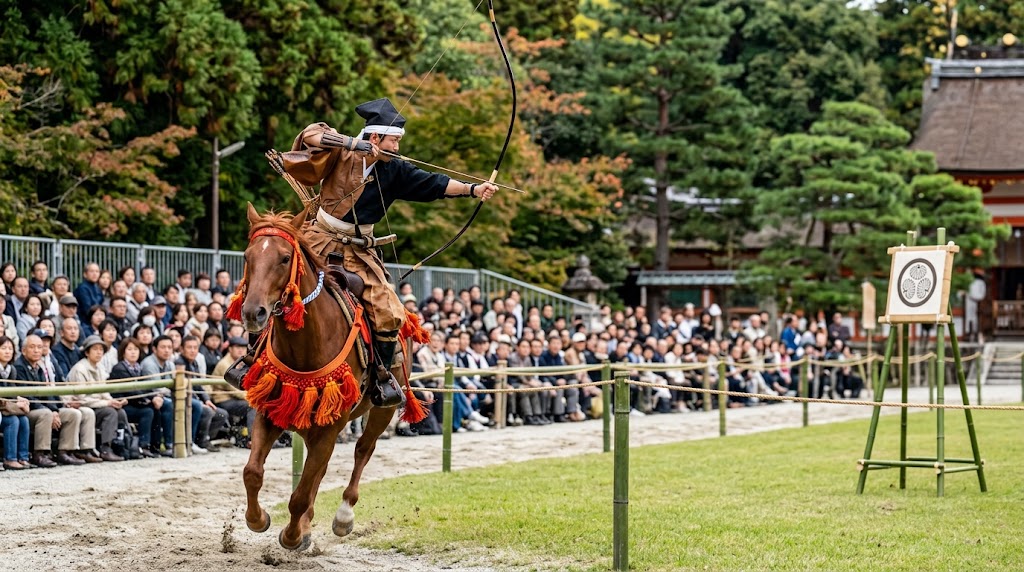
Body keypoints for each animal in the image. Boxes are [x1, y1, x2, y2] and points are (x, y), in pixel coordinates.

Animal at [233, 203, 420, 551]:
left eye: (284, 258)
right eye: (248, 256)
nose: (254, 313)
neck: (306, 343)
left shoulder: (331, 425)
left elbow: (300, 493)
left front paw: (293, 536)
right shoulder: (270, 411)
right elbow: (253, 472)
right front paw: (259, 519)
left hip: (383, 407)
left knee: (363, 450)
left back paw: (343, 516)